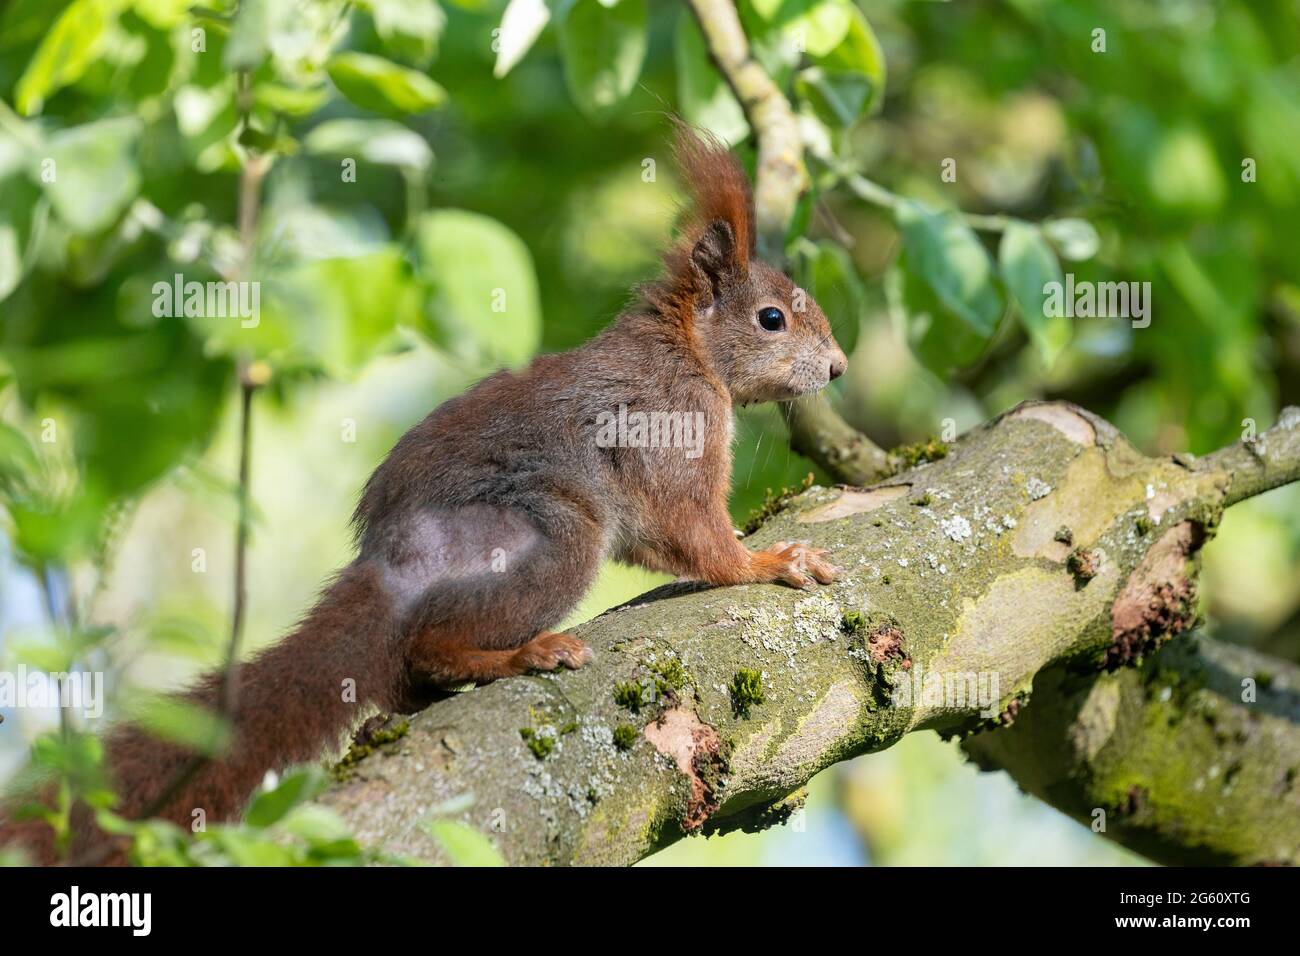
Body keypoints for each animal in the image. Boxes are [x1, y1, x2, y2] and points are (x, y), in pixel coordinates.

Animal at [0, 123, 842, 863]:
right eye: (772, 318)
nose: (835, 368)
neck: (687, 347)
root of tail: (389, 565)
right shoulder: (670, 432)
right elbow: (698, 537)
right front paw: (769, 563)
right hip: (548, 538)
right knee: (428, 648)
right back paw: (520, 654)